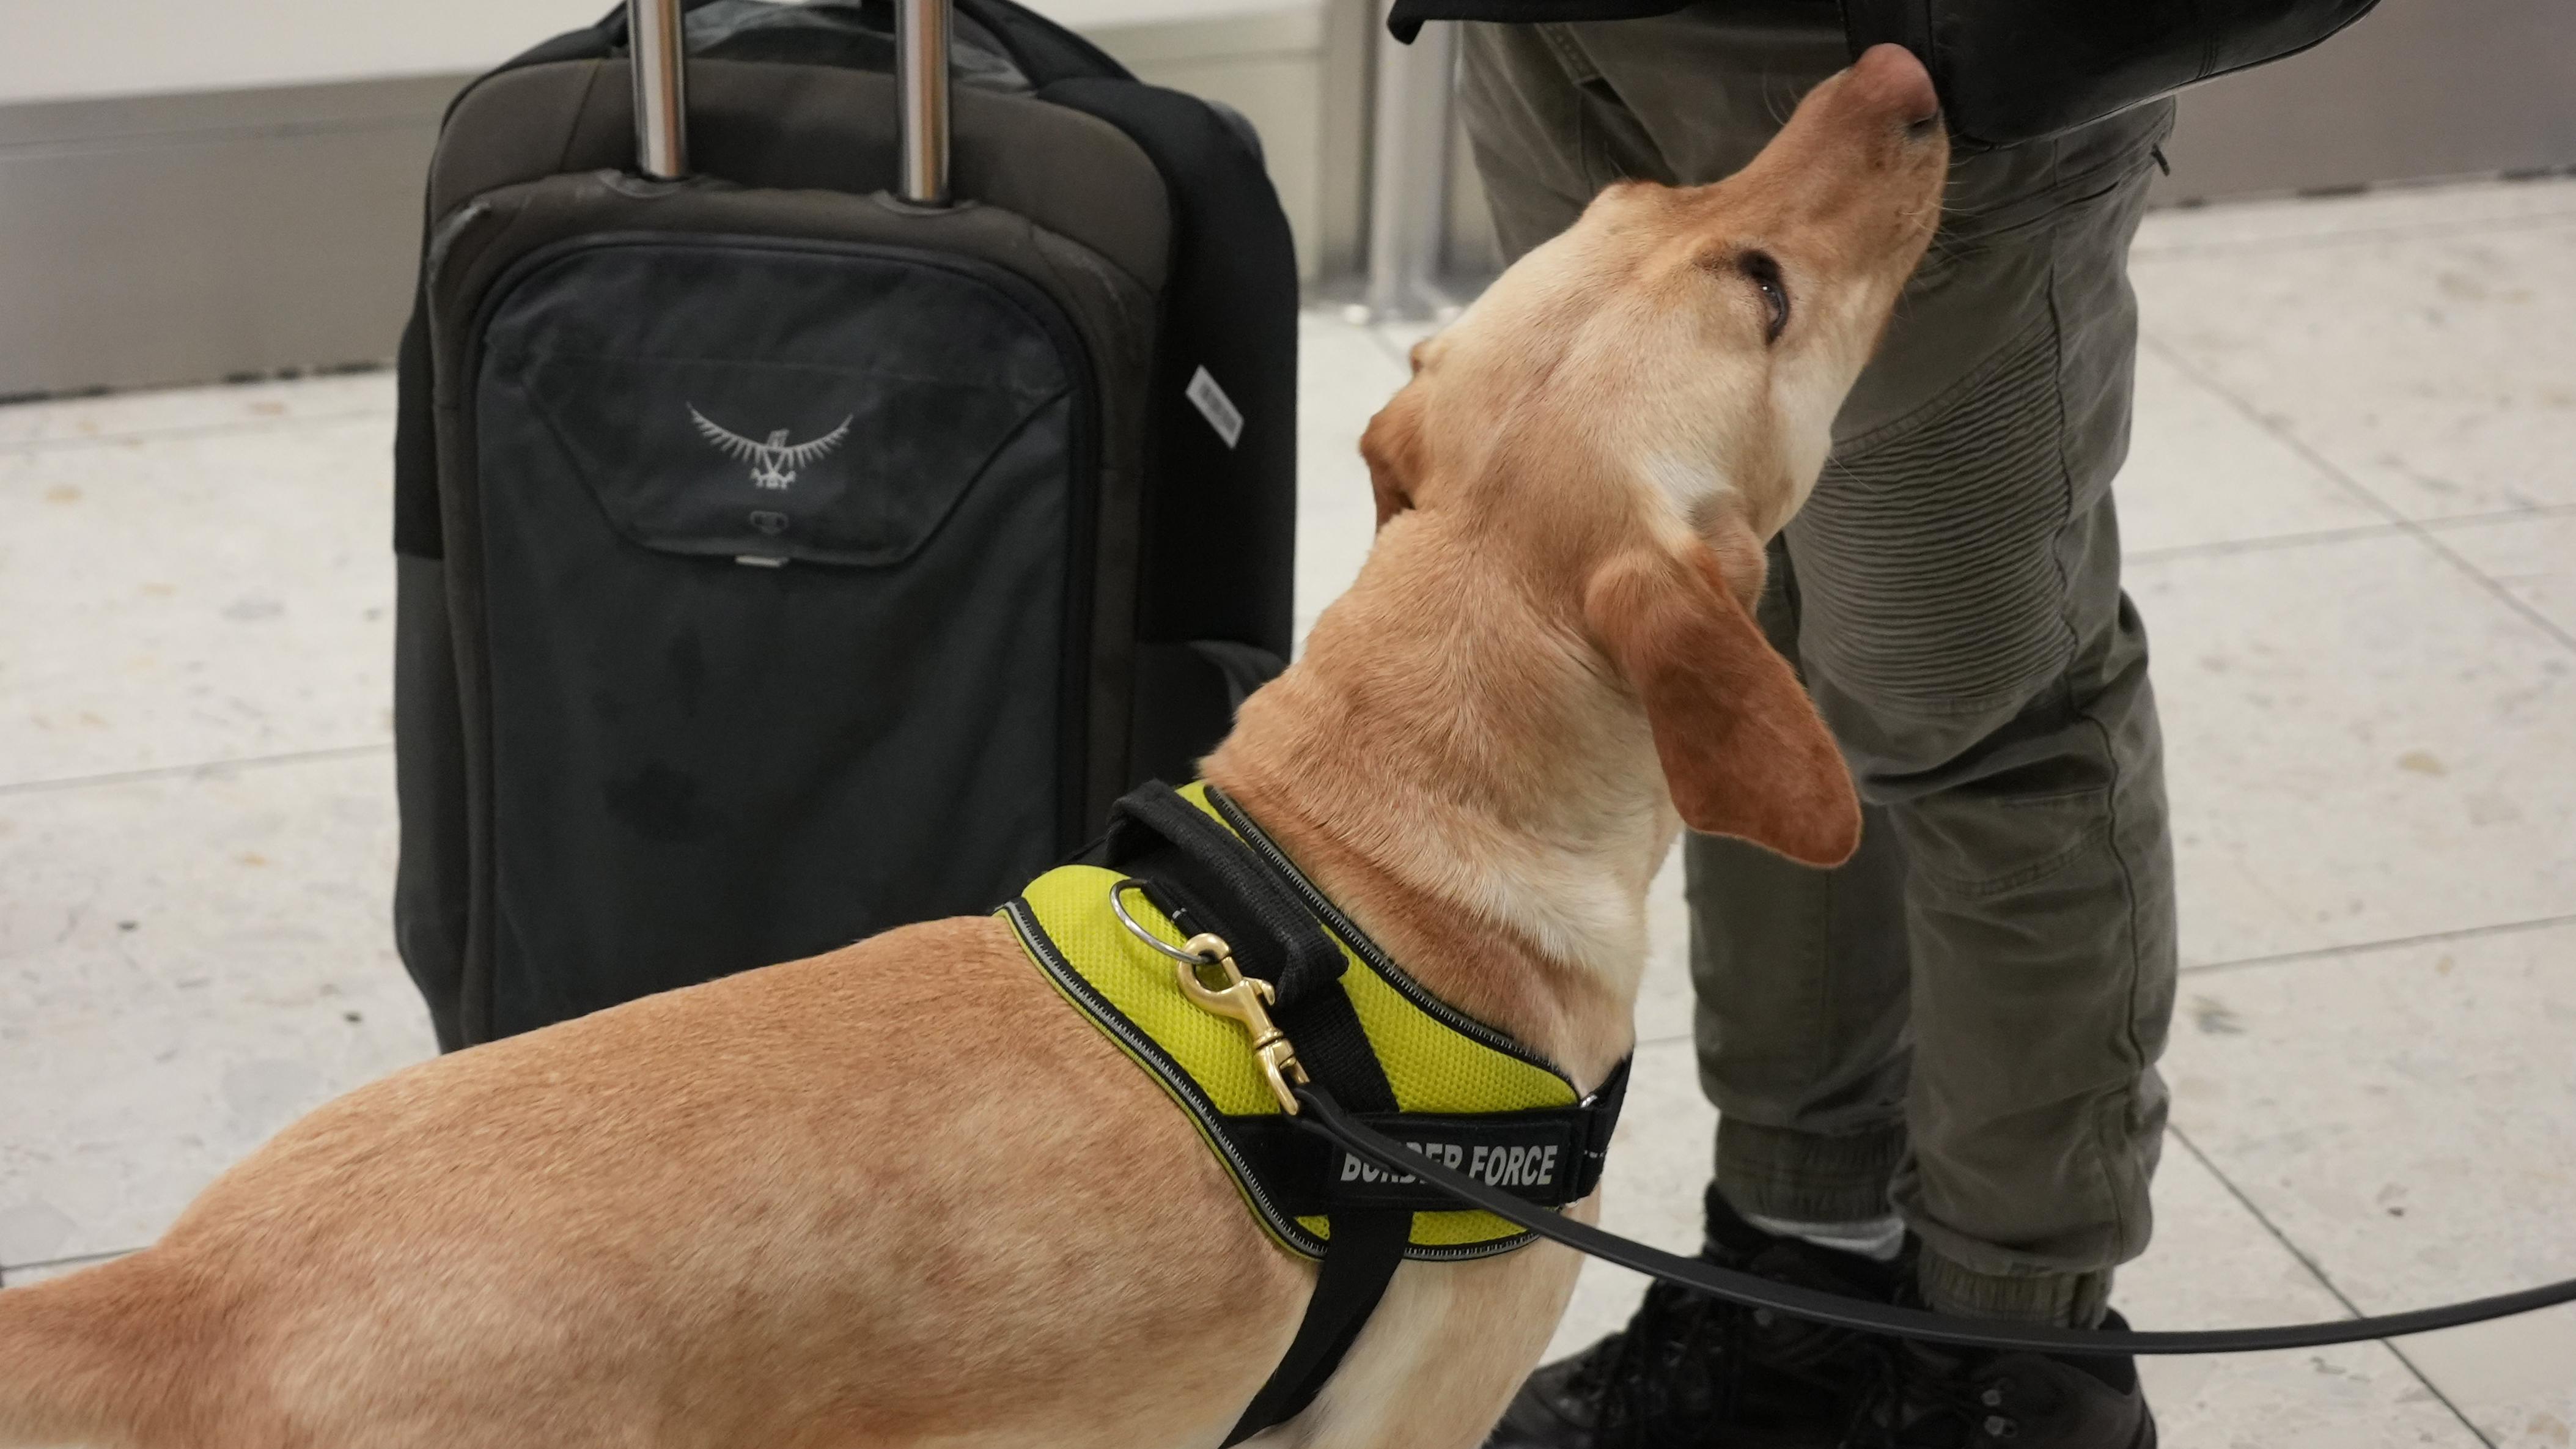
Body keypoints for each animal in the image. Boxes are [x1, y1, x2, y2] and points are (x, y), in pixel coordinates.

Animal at [0, 45, 1937, 1443]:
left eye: (1660, 188)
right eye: (1763, 284)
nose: (1906, 71)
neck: (1381, 822)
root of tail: (186, 1294)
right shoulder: (1405, 1421)